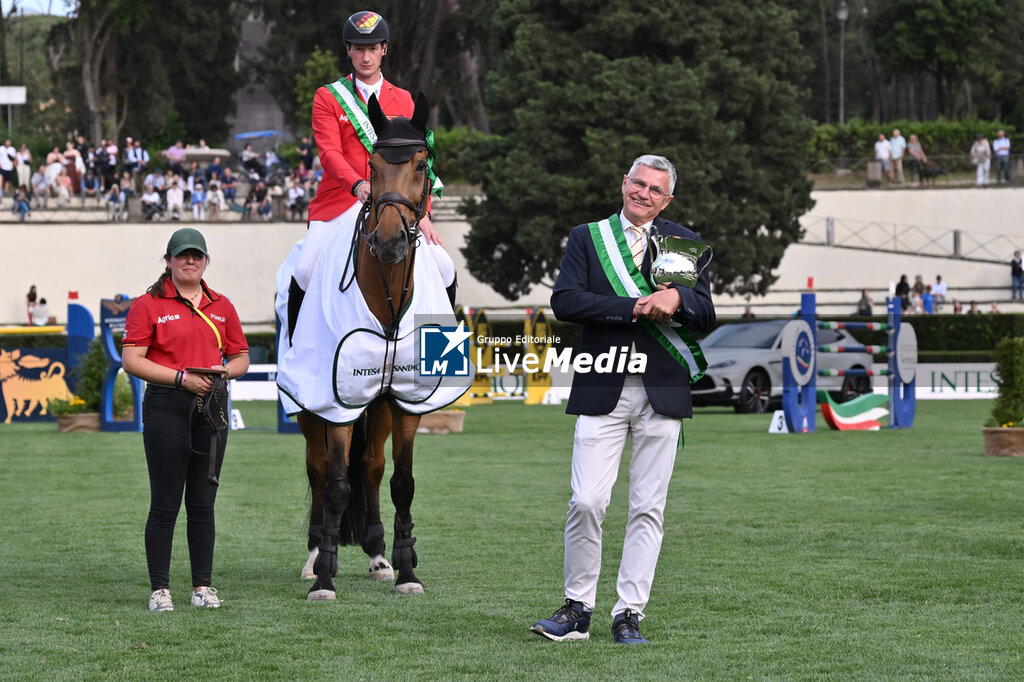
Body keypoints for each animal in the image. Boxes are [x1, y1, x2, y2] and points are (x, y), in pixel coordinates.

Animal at [299, 93, 436, 598]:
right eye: (372, 166)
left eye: (421, 164)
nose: (391, 241)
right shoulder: (337, 400)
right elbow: (338, 484)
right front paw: (324, 578)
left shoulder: (408, 401)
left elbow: (402, 482)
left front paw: (409, 572)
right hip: (310, 406)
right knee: (320, 469)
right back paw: (316, 555)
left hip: (377, 405)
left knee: (373, 467)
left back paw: (379, 557)